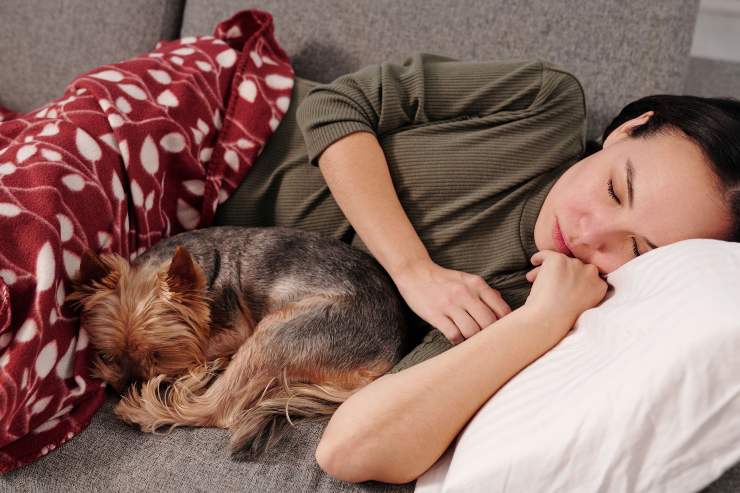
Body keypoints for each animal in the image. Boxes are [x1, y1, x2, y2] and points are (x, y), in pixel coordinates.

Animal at [68, 226, 410, 458]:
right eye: (109, 354)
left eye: (160, 355)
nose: (127, 384)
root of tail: (388, 355)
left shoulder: (237, 329)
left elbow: (201, 351)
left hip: (281, 331)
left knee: (216, 409)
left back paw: (144, 409)